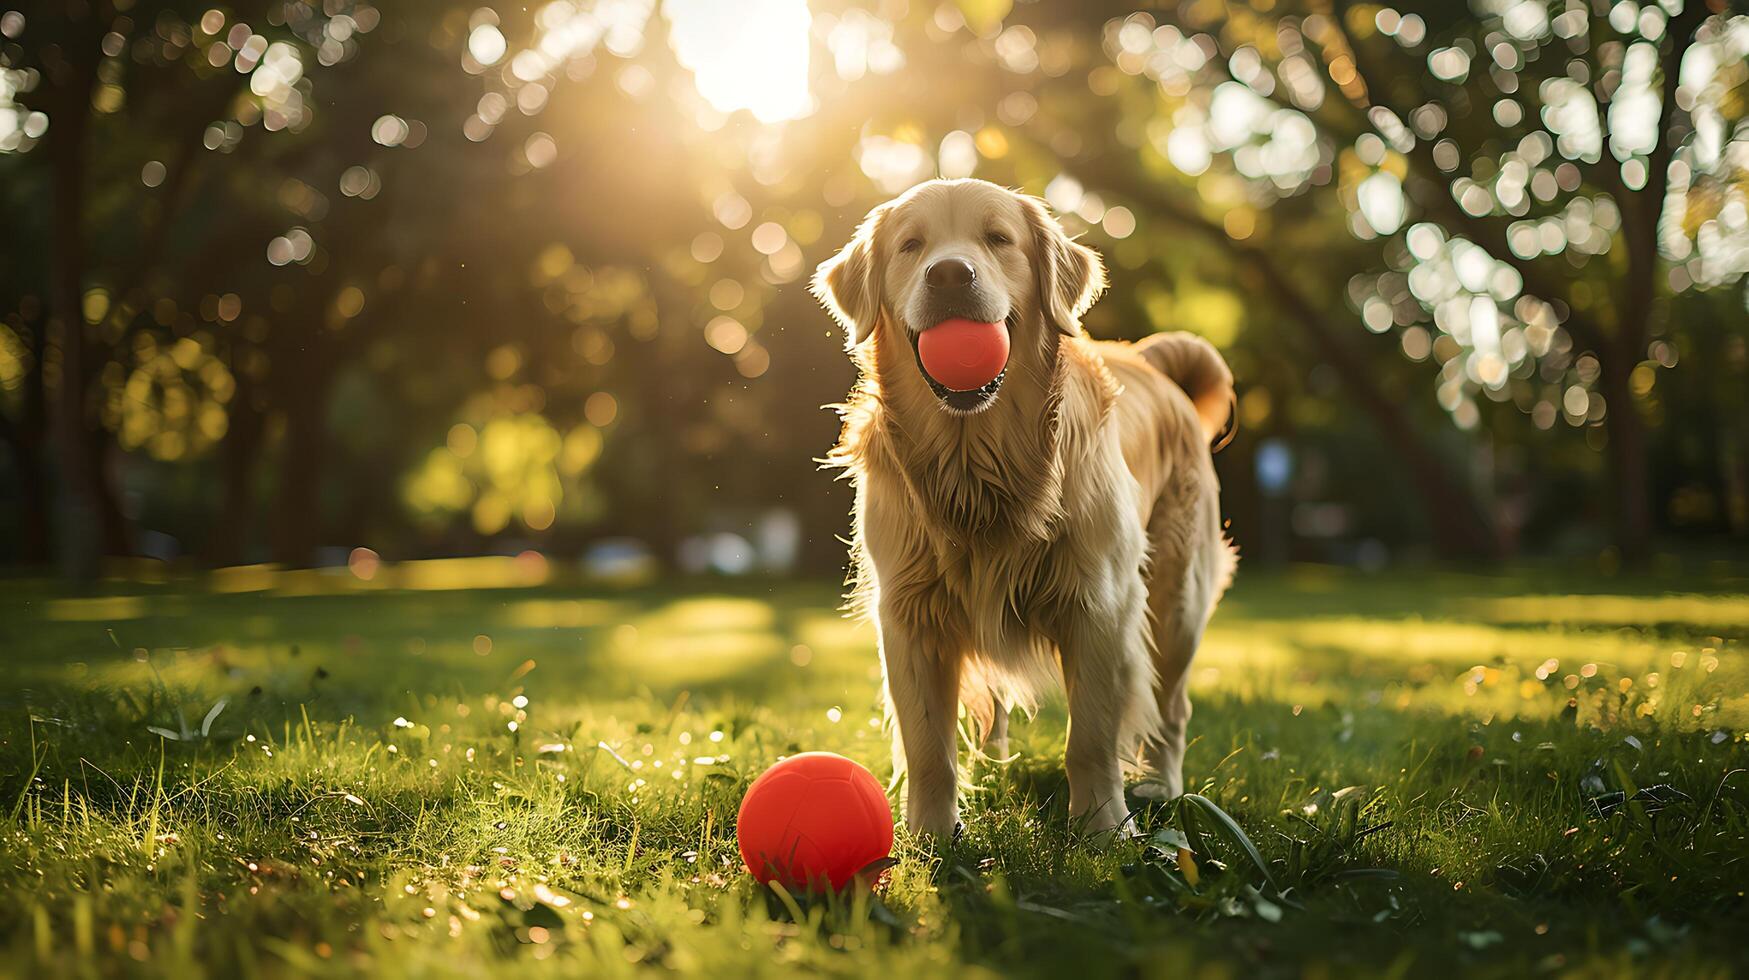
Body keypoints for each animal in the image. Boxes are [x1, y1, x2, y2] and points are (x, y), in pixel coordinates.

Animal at [811, 180, 1238, 840]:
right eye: (911, 245)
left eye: (998, 239)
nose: (951, 274)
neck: (977, 466)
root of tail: (1157, 366)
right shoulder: (908, 611)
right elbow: (927, 744)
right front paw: (929, 839)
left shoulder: (1101, 603)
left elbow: (1090, 737)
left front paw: (1103, 829)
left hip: (1178, 601)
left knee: (1171, 706)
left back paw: (1161, 788)